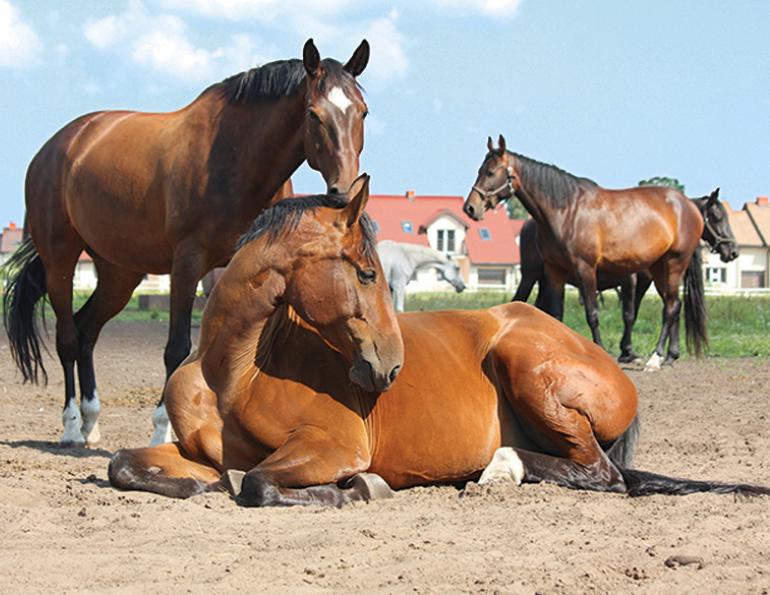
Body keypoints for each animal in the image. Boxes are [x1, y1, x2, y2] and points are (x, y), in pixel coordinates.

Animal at [2, 39, 371, 448]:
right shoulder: (187, 263)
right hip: (61, 261)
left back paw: (91, 422)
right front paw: (163, 430)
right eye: (312, 114)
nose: (343, 191)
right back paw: (70, 428)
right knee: (68, 337)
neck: (235, 156)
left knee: (87, 331)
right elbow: (177, 349)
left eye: (363, 112)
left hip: (119, 273)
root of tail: (58, 146)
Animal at [513, 188, 738, 363]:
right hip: (530, 277)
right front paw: (628, 352)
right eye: (718, 217)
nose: (733, 251)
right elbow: (630, 314)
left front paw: (654, 352)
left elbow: (658, 309)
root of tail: (530, 224)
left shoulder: (647, 279)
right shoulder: (633, 279)